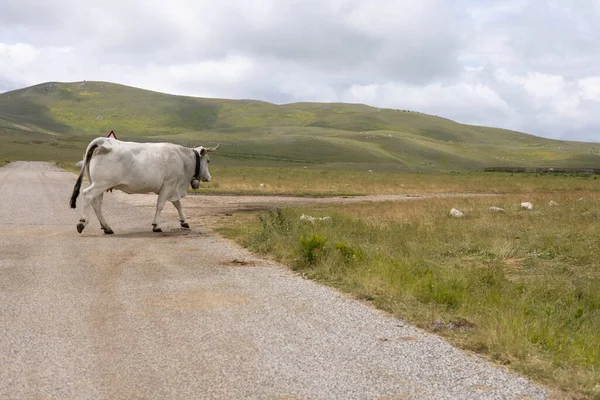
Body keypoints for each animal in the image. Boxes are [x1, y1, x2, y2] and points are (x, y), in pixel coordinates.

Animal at [70, 138, 217, 234]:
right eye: (208, 161)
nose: (209, 177)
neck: (182, 159)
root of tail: (103, 142)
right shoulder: (168, 186)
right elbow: (161, 205)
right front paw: (156, 225)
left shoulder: (173, 189)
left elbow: (178, 205)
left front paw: (184, 221)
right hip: (100, 184)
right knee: (87, 195)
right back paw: (83, 222)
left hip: (99, 185)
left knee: (96, 204)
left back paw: (106, 227)